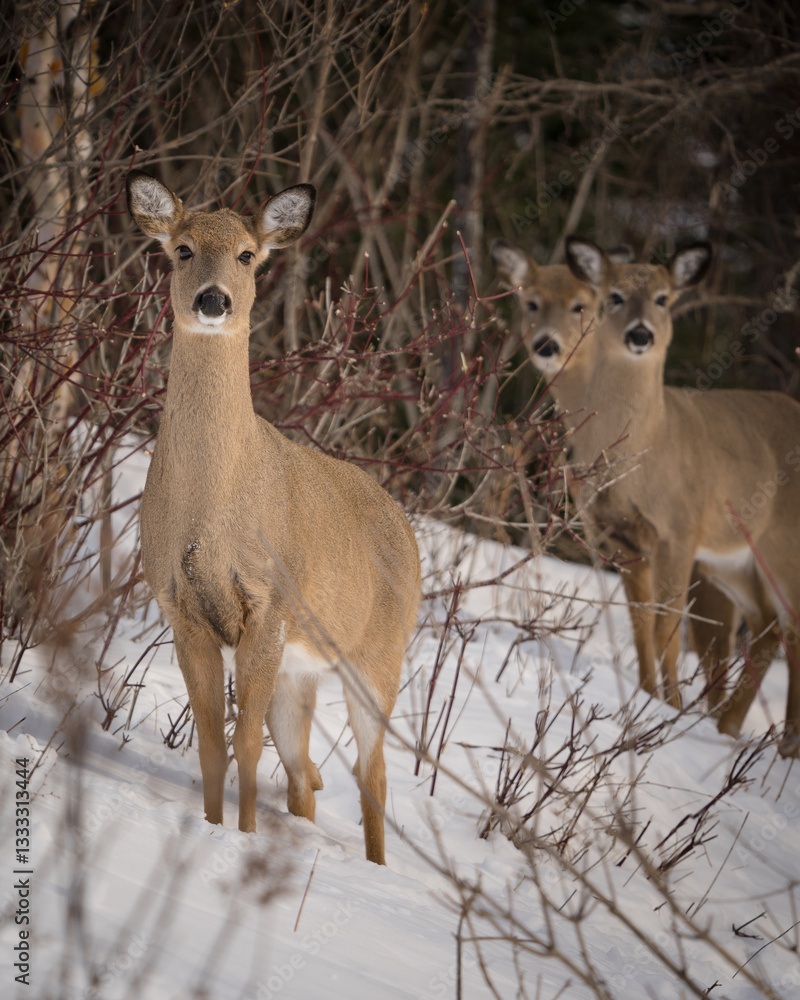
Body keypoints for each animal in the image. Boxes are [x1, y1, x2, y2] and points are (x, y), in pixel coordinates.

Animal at [126, 170, 421, 864]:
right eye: (182, 248)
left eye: (247, 255)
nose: (212, 299)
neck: (210, 512)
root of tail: (408, 528)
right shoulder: (181, 609)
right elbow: (214, 741)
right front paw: (213, 829)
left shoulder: (269, 603)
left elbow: (244, 744)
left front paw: (243, 837)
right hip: (301, 672)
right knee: (305, 772)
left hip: (379, 656)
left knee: (371, 774)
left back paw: (374, 866)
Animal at [562, 236, 799, 752]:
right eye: (614, 296)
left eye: (663, 298)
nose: (640, 335)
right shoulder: (622, 540)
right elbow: (642, 628)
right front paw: (652, 698)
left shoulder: (680, 530)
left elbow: (664, 624)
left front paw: (666, 706)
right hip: (735, 561)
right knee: (768, 625)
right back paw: (728, 727)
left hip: (782, 548)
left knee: (793, 626)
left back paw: (784, 744)